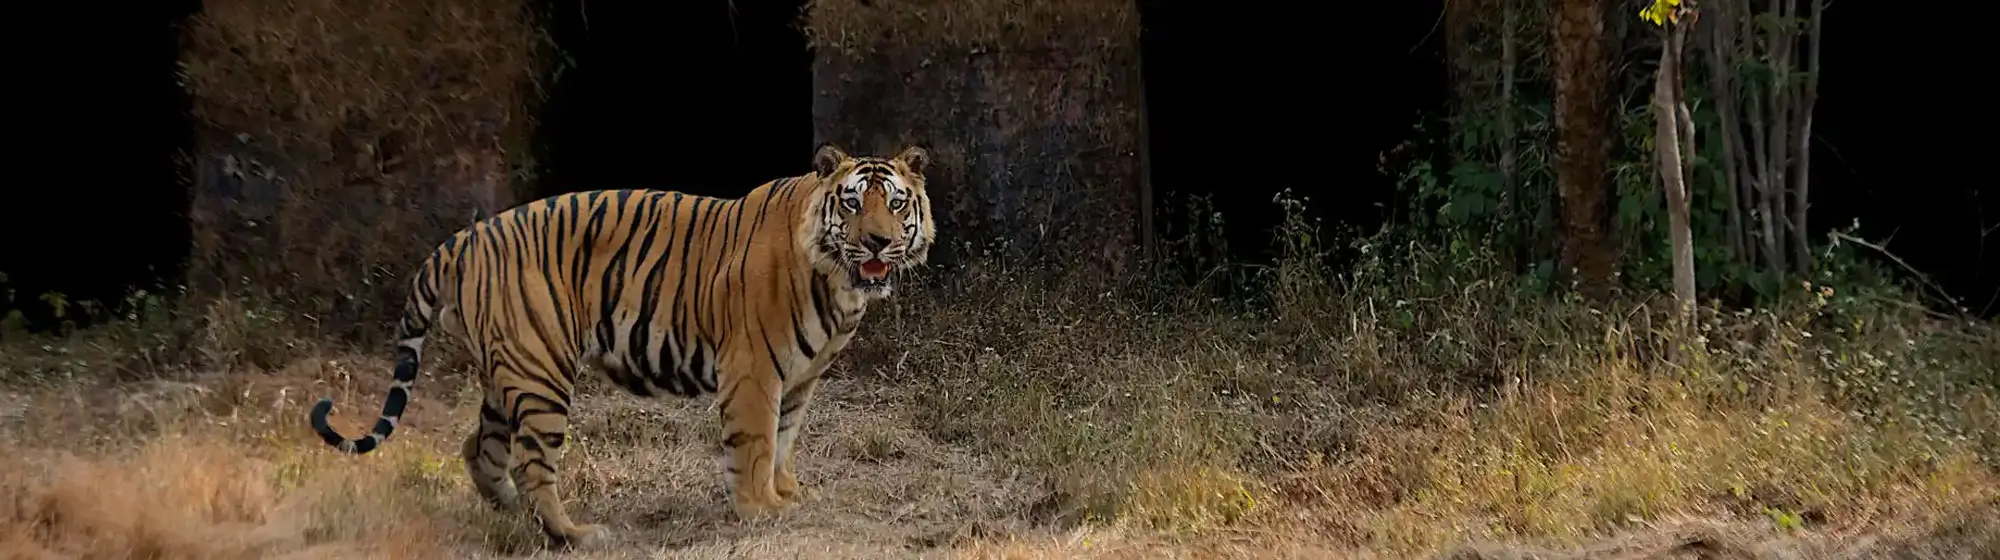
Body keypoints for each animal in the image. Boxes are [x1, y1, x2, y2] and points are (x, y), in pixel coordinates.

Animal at [307, 143, 933, 548]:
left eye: (896, 204)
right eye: (852, 203)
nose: (877, 242)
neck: (837, 281)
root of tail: (461, 239)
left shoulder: (799, 379)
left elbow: (783, 441)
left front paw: (789, 496)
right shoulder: (754, 371)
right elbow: (756, 443)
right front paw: (761, 510)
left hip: (506, 374)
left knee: (479, 450)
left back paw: (511, 517)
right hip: (542, 372)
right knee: (533, 462)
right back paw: (575, 534)